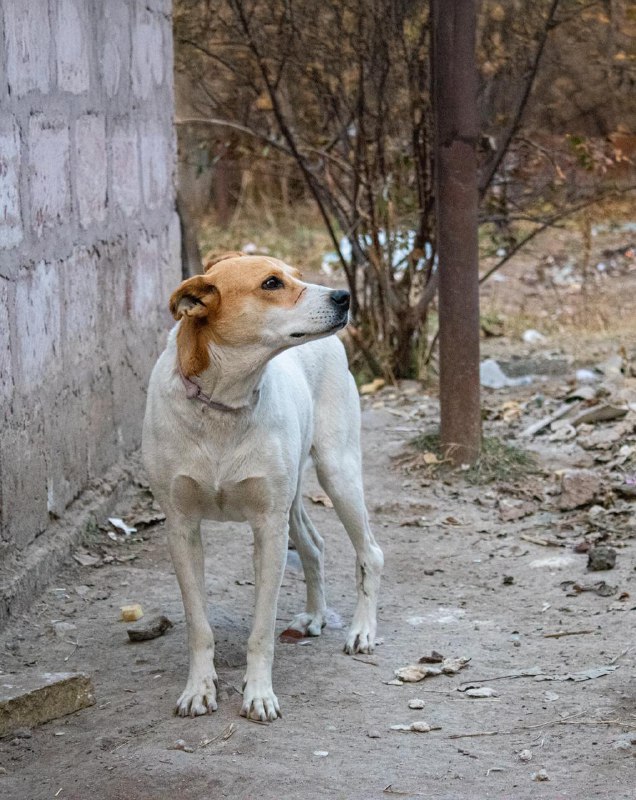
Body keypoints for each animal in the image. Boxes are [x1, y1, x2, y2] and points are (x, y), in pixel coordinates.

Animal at [143, 253, 382, 720]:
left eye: (295, 275)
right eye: (271, 283)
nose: (344, 296)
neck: (223, 402)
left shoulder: (268, 527)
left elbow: (261, 630)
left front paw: (258, 694)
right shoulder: (181, 527)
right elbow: (198, 626)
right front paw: (199, 689)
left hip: (338, 472)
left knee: (370, 553)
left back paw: (362, 631)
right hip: (294, 496)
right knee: (314, 544)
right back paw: (314, 616)